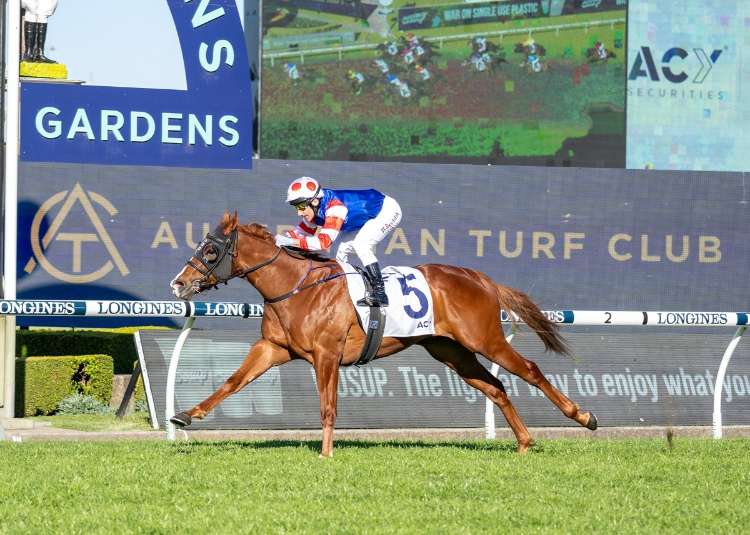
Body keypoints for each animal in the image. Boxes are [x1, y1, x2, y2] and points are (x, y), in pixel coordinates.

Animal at [169, 211, 598, 457]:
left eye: (210, 251)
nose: (178, 283)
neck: (295, 286)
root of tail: (481, 278)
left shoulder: (327, 354)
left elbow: (327, 406)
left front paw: (326, 454)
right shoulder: (273, 348)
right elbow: (232, 382)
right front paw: (186, 416)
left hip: (484, 339)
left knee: (530, 370)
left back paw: (583, 416)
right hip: (451, 351)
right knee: (496, 387)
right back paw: (524, 443)